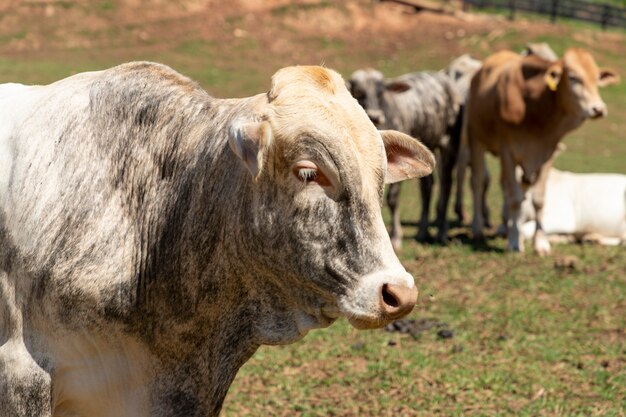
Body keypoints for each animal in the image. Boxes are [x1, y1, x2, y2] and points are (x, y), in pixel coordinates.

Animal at [466, 47, 616, 252]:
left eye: (596, 78)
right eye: (573, 78)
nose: (599, 109)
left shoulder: (546, 154)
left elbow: (538, 199)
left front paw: (539, 243)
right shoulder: (507, 152)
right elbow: (514, 198)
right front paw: (514, 242)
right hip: (475, 139)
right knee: (478, 182)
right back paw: (478, 229)